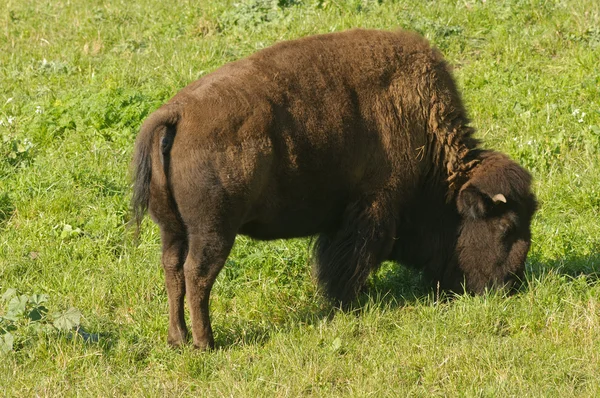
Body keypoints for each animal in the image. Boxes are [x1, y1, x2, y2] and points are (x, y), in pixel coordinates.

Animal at [132, 29, 540, 350]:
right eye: (506, 226)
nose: (510, 286)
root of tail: (177, 114)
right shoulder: (372, 210)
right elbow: (350, 260)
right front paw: (347, 303)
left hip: (173, 229)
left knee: (173, 270)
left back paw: (178, 339)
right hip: (213, 231)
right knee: (197, 275)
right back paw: (206, 342)